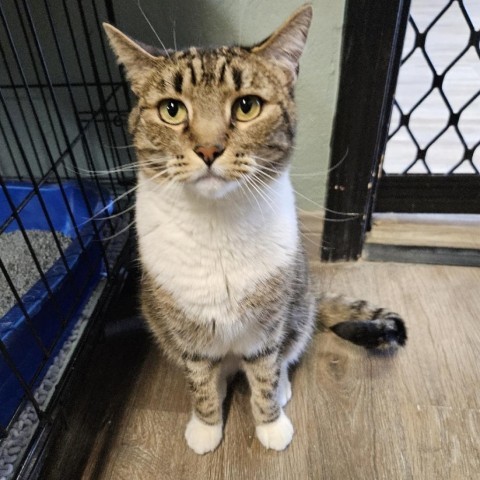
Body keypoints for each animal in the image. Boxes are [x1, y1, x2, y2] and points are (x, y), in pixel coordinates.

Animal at [103, 3, 406, 454]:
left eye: (247, 106)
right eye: (172, 109)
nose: (208, 149)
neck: (216, 225)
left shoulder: (268, 325)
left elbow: (265, 370)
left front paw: (270, 422)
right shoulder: (187, 333)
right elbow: (200, 379)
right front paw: (206, 426)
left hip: (298, 304)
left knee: (285, 353)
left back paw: (281, 388)